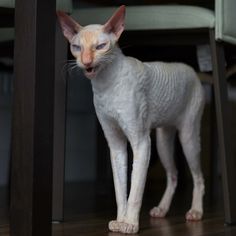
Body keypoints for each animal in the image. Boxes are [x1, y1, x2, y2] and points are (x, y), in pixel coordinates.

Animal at [57, 5, 205, 234]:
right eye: (76, 47)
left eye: (101, 46)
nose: (87, 62)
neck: (105, 86)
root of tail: (190, 68)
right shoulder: (116, 145)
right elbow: (120, 190)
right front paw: (120, 220)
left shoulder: (141, 142)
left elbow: (135, 189)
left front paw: (130, 223)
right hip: (163, 141)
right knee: (173, 175)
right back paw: (162, 209)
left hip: (188, 136)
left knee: (199, 178)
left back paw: (196, 211)